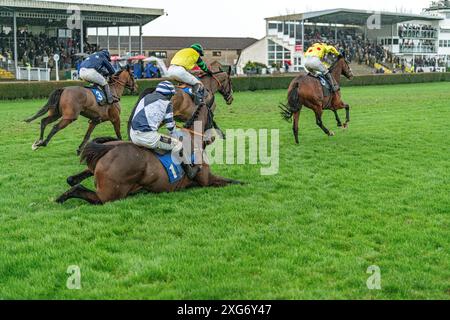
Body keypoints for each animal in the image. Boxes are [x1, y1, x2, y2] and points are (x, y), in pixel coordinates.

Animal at [56, 99, 243, 205]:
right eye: (212, 116)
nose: (219, 135)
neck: (193, 139)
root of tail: (111, 147)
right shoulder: (206, 180)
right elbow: (233, 181)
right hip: (109, 194)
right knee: (82, 189)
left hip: (96, 168)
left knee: (72, 179)